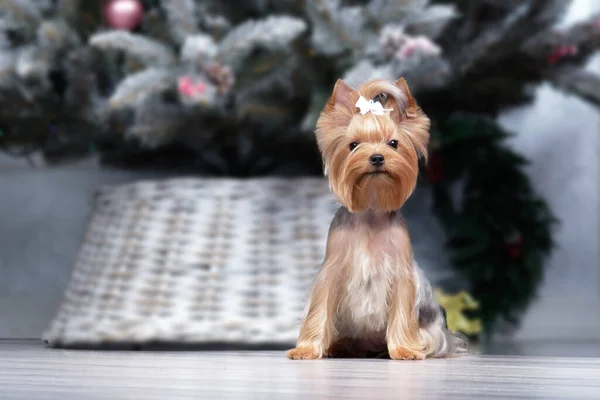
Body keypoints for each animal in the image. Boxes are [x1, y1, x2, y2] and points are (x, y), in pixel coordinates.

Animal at [288, 77, 466, 360]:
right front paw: (306, 349)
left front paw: (404, 349)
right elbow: (319, 310)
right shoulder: (330, 273)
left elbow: (402, 311)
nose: (377, 157)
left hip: (434, 329)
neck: (371, 206)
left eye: (393, 143)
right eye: (353, 145)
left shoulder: (402, 275)